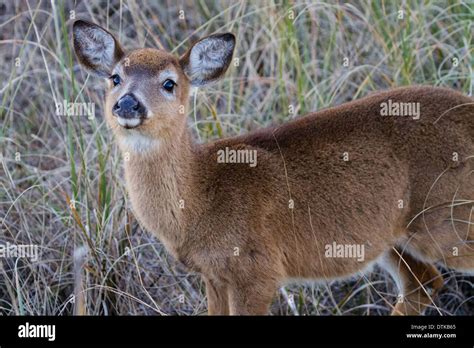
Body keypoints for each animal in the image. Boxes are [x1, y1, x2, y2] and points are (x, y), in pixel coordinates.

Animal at [71, 20, 474, 316]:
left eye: (169, 83)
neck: (199, 196)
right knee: (423, 284)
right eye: (115, 78)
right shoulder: (214, 276)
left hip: (447, 219)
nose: (127, 104)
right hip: (391, 237)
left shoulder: (258, 271)